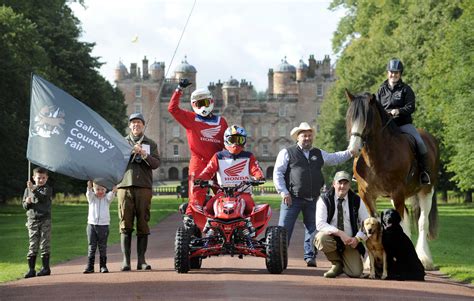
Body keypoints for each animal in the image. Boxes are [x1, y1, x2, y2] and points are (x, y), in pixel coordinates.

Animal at [344, 89, 440, 270]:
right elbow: (373, 221)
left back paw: (424, 259)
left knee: (422, 222)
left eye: (367, 119)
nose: (353, 149)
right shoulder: (366, 194)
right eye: (350, 117)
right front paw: (369, 262)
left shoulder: (397, 193)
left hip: (426, 192)